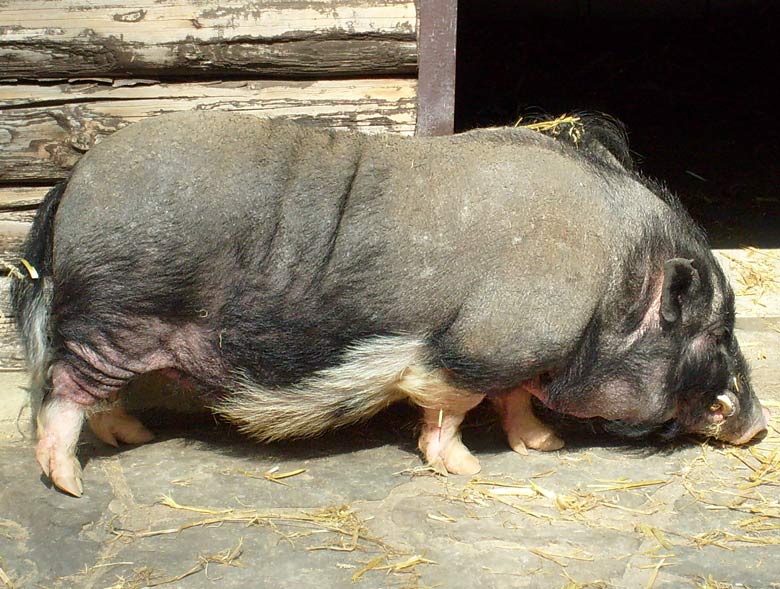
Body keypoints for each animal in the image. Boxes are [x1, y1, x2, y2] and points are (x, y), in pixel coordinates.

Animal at [10, 111, 768, 496]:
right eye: (712, 333)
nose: (760, 426)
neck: (612, 285)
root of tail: (71, 184)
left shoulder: (516, 354)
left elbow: (514, 402)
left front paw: (544, 445)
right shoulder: (477, 345)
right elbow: (453, 404)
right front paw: (466, 468)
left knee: (92, 394)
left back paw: (132, 439)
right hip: (116, 318)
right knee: (65, 390)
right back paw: (71, 483)